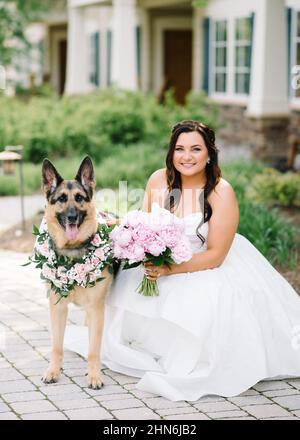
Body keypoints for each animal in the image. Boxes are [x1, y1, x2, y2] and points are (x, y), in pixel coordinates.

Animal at [41, 156, 112, 388]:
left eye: (79, 198)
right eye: (62, 199)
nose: (72, 217)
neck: (73, 252)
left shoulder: (96, 308)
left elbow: (94, 349)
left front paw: (94, 375)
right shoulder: (57, 308)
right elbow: (56, 346)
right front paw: (53, 372)